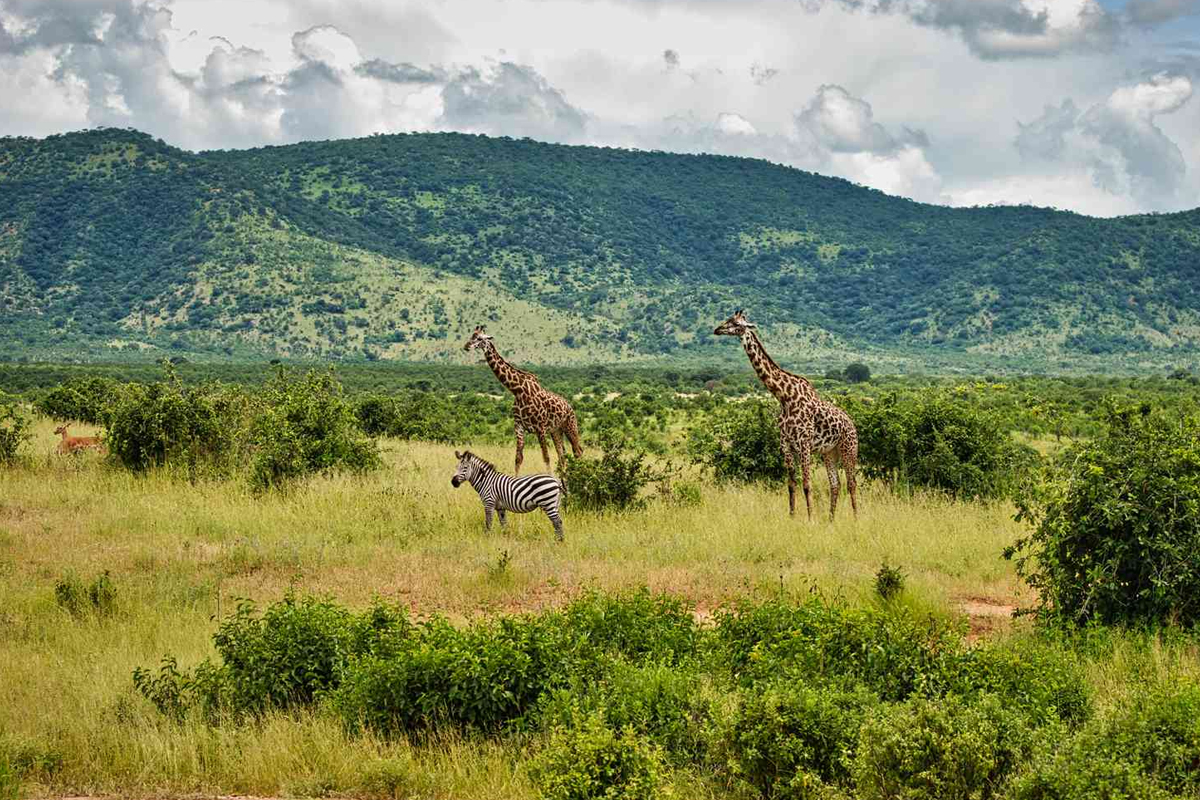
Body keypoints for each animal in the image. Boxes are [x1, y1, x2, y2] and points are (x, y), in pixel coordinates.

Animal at [460, 326, 583, 474]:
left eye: (479, 338)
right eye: (471, 336)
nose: (466, 346)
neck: (517, 390)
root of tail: (570, 407)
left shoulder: (540, 428)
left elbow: (546, 457)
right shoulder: (518, 426)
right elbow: (518, 458)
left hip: (570, 426)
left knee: (577, 451)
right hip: (556, 430)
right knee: (562, 454)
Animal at [705, 309, 859, 522]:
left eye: (735, 323)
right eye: (728, 319)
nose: (717, 329)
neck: (784, 397)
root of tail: (852, 424)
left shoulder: (804, 443)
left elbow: (806, 484)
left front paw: (811, 519)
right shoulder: (785, 444)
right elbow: (791, 485)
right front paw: (792, 517)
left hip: (848, 449)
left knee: (852, 483)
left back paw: (856, 518)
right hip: (829, 452)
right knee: (835, 484)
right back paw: (830, 520)